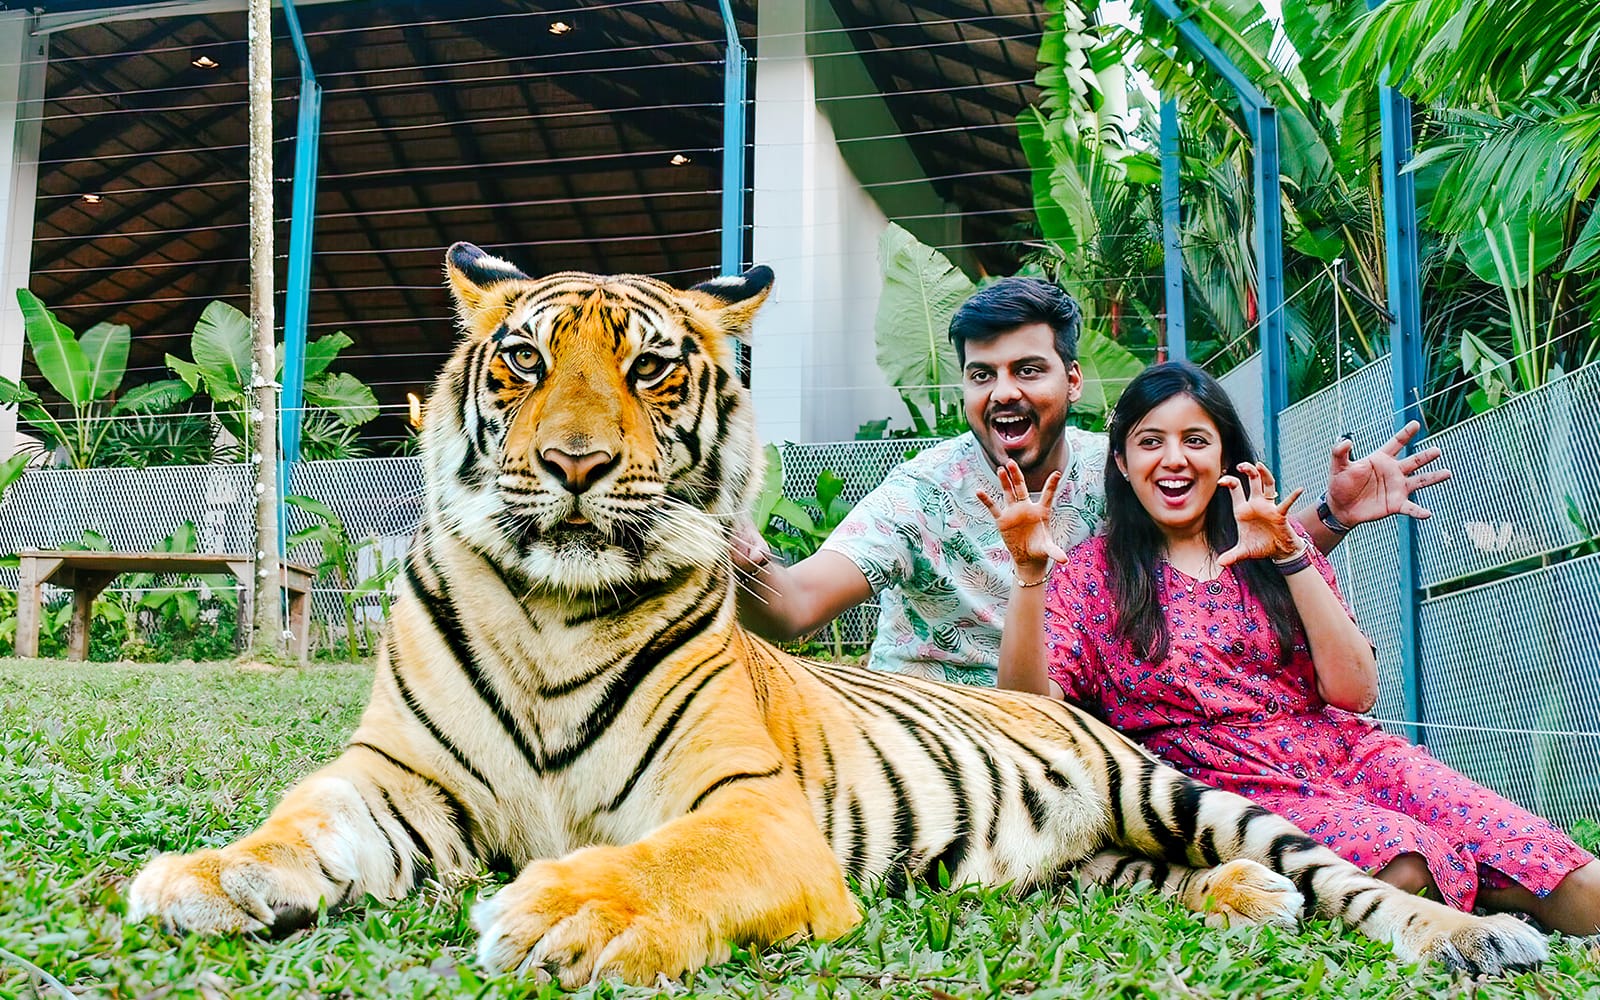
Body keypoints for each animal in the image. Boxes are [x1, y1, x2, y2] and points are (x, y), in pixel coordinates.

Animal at [127, 243, 1549, 987]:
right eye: (524, 362)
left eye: (651, 367)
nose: (577, 463)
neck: (549, 609)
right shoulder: (399, 777)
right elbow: (303, 820)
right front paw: (208, 874)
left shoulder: (749, 808)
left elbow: (668, 861)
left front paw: (568, 911)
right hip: (1080, 860)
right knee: (1151, 882)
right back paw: (1244, 903)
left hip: (1178, 790)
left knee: (1344, 878)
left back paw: (1478, 932)